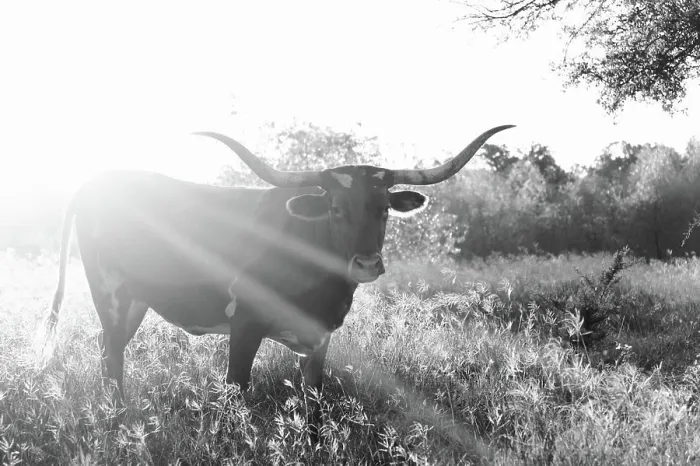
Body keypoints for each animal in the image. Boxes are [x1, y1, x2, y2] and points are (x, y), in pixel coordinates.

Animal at [42, 124, 514, 404]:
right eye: (335, 209)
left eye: (383, 209)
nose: (366, 263)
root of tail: (94, 180)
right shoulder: (245, 325)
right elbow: (235, 390)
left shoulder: (319, 339)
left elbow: (313, 403)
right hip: (110, 291)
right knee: (112, 355)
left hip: (135, 299)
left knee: (109, 349)